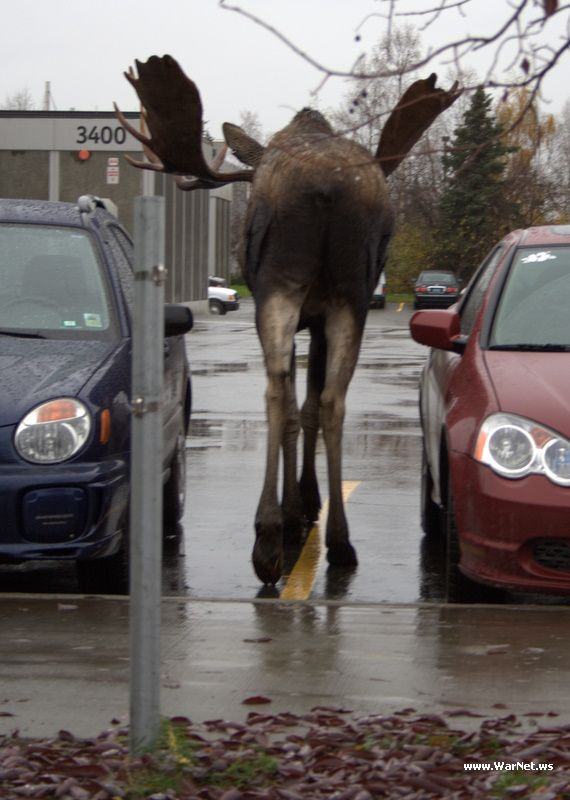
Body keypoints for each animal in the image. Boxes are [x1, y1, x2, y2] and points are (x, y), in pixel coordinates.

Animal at [115, 54, 458, 580]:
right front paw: (308, 503)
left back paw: (268, 538)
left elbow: (296, 405)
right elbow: (312, 404)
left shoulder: (297, 309)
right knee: (334, 400)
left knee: (276, 392)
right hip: (350, 294)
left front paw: (294, 511)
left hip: (278, 287)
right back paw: (340, 542)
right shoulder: (317, 318)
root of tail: (327, 187)